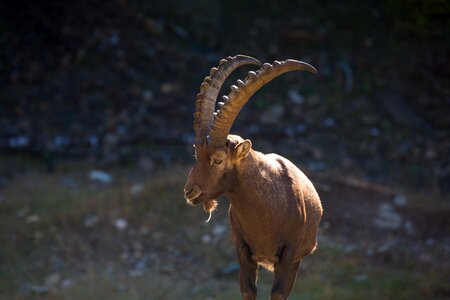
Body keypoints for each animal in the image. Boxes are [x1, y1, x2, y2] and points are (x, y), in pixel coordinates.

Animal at [184, 55, 324, 298]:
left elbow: (278, 292)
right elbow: (248, 290)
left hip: (297, 260)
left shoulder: (289, 253)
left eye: (218, 160)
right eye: (196, 154)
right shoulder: (243, 249)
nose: (189, 191)